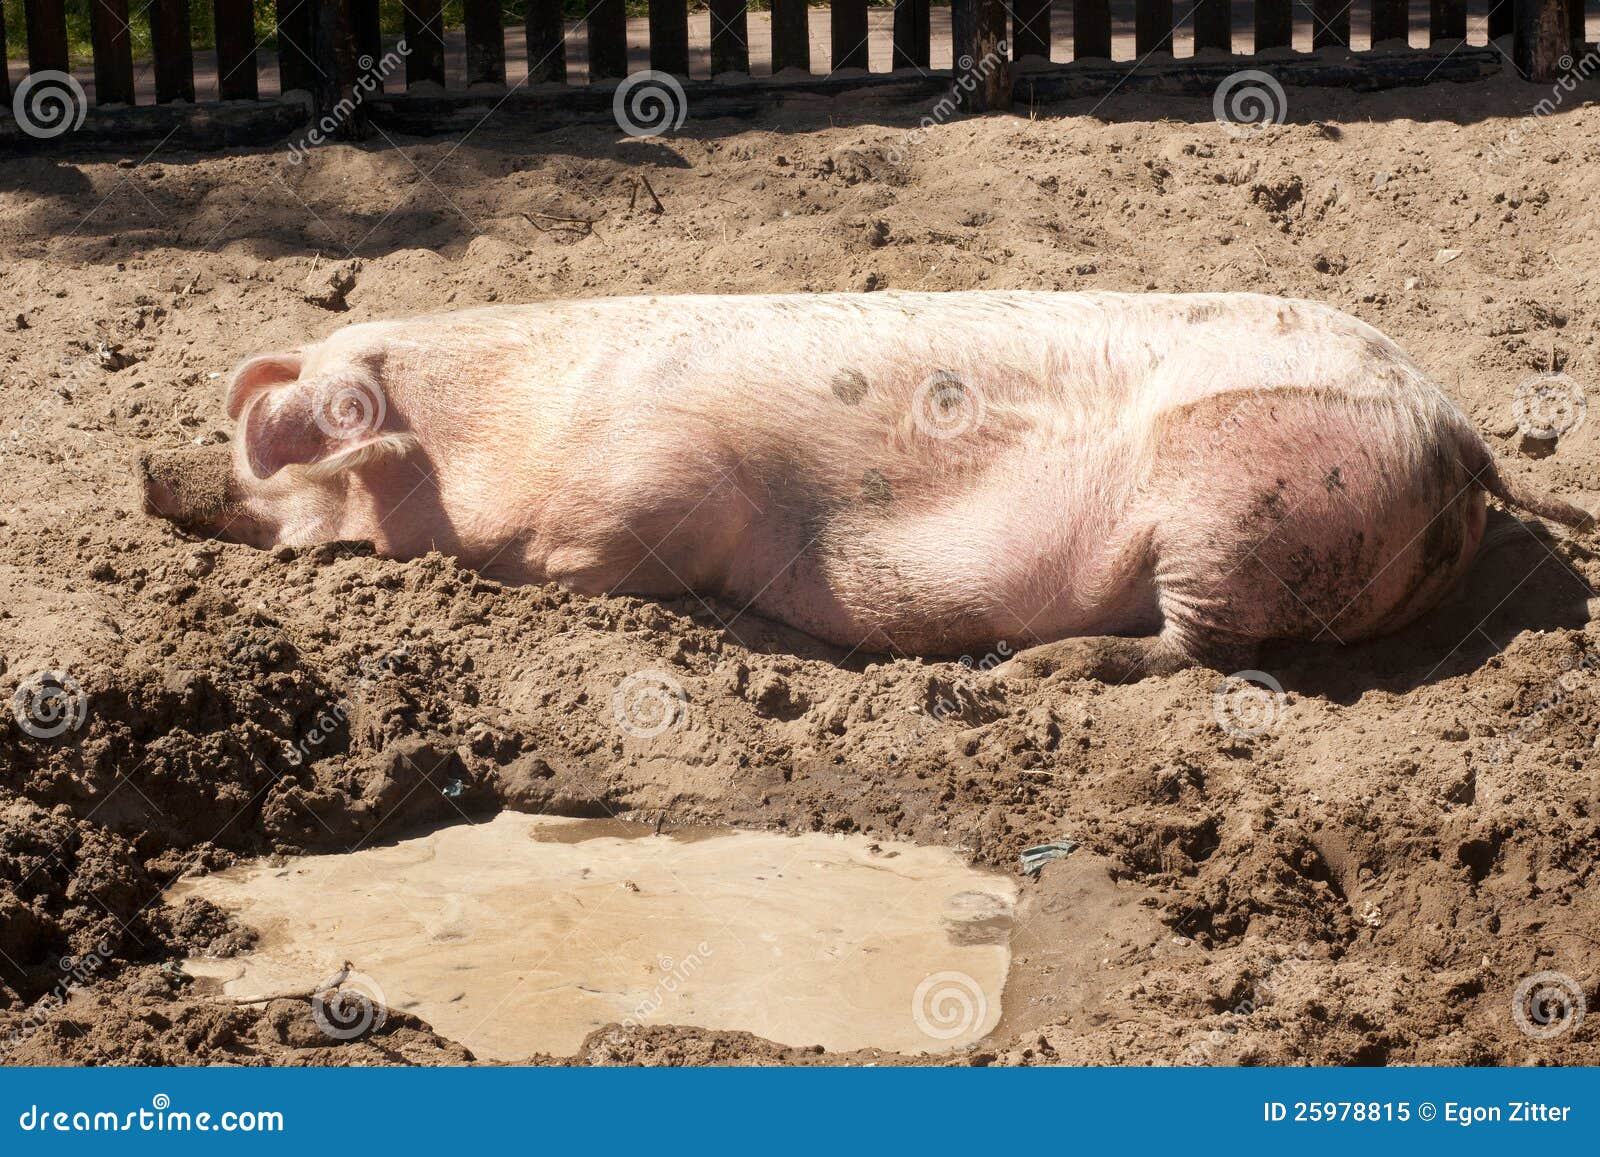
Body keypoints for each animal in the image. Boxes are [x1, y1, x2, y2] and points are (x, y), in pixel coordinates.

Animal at [140, 291, 1590, 680]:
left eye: (289, 451)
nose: (150, 466)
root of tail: (1453, 428)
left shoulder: (650, 484)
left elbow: (593, 563)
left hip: (1235, 506)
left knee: (1198, 651)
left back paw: (1031, 676)